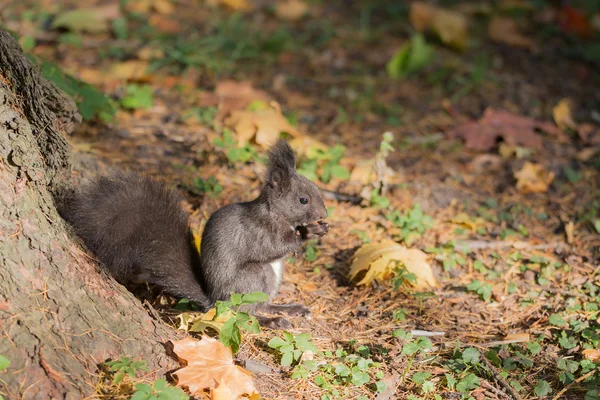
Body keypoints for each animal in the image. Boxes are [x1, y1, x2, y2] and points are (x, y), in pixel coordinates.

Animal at [61, 140, 330, 328]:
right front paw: (309, 232)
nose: (324, 214)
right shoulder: (257, 230)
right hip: (254, 278)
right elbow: (273, 246)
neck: (274, 212)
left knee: (262, 305)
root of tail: (214, 300)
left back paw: (287, 308)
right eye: (303, 200)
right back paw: (271, 321)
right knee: (243, 313)